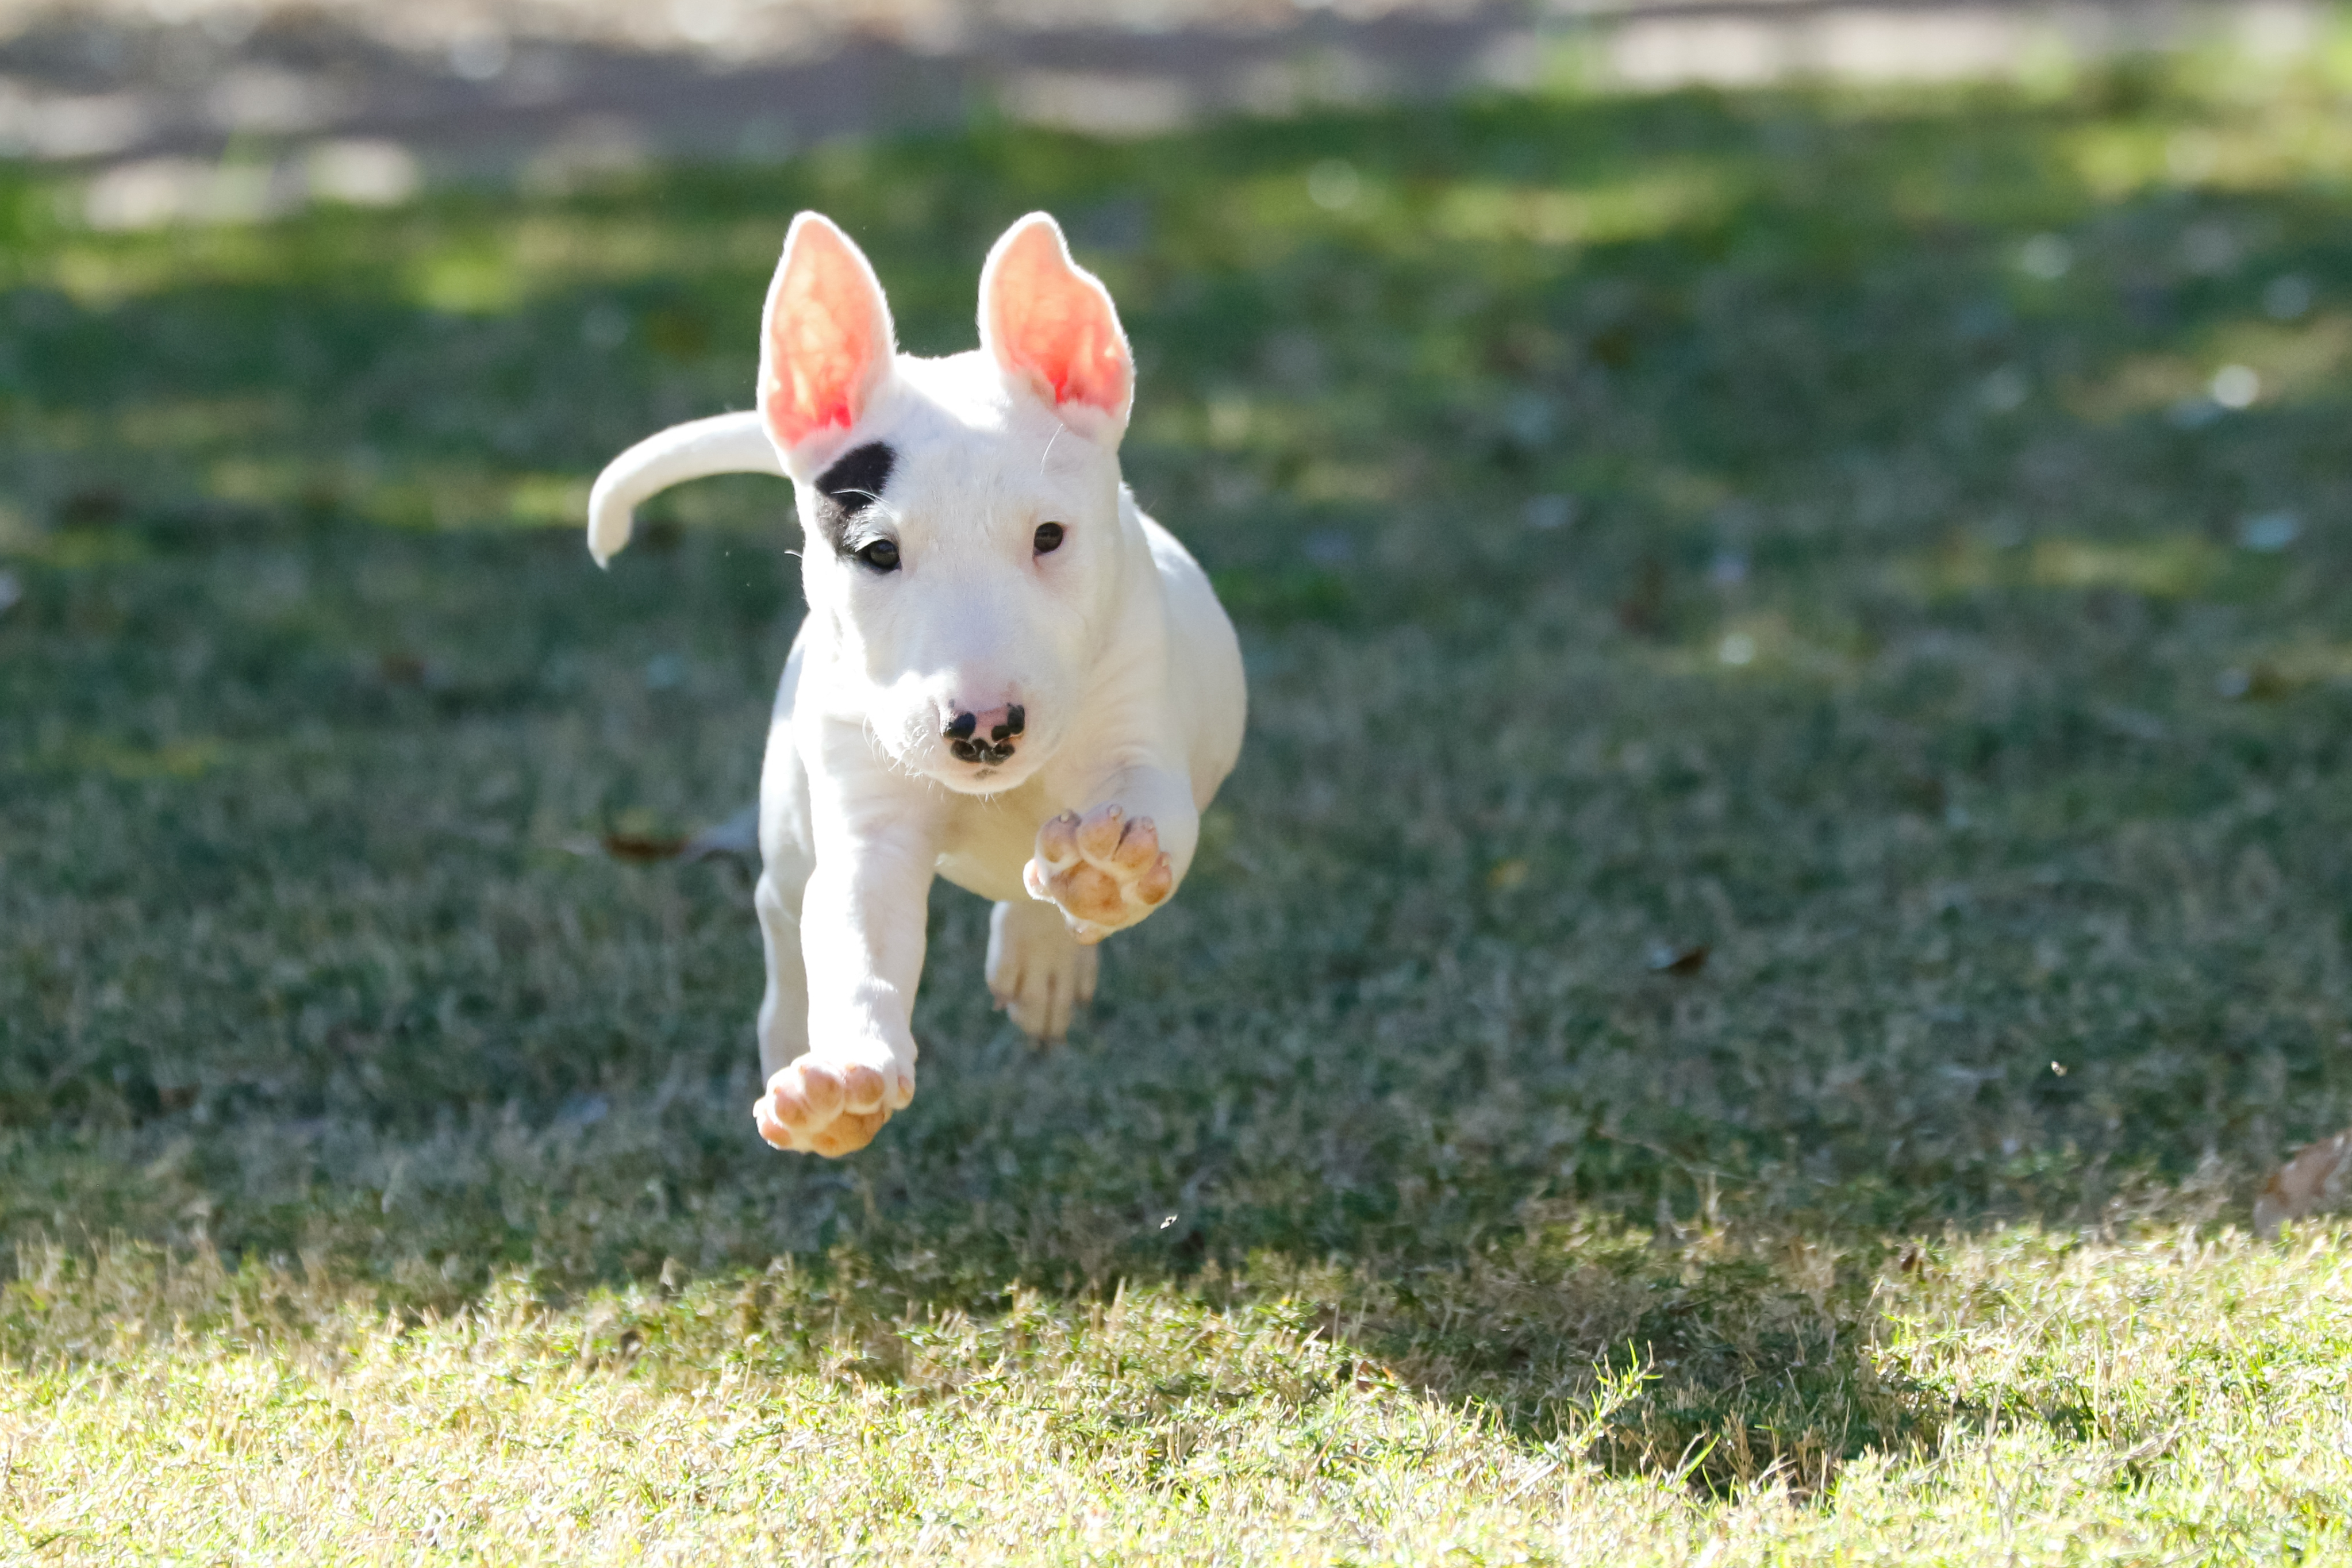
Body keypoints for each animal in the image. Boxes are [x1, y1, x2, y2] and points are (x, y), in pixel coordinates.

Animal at [583, 212, 1251, 1152]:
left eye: (1050, 536)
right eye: (876, 552)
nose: (985, 727)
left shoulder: (1136, 725)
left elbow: (1149, 809)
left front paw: (1107, 873)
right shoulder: (871, 820)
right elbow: (857, 927)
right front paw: (844, 1080)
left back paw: (1047, 947)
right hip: (792, 806)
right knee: (783, 903)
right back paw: (791, 1034)